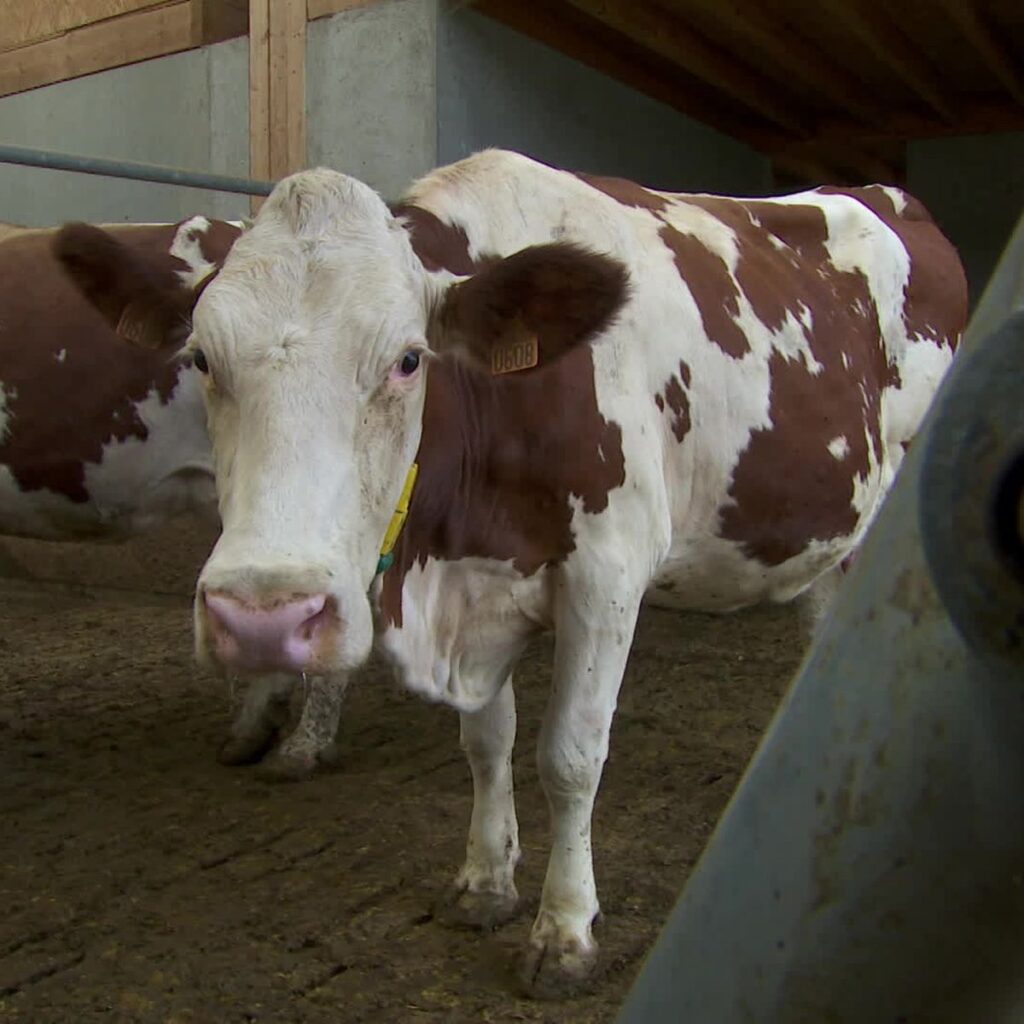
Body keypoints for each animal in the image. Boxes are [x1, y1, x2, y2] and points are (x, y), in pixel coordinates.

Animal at [54, 149, 967, 996]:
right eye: (202, 359)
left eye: (409, 359)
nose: (263, 618)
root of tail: (885, 194)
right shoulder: (477, 588)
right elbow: (486, 741)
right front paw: (485, 881)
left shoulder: (608, 575)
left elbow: (569, 757)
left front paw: (564, 932)